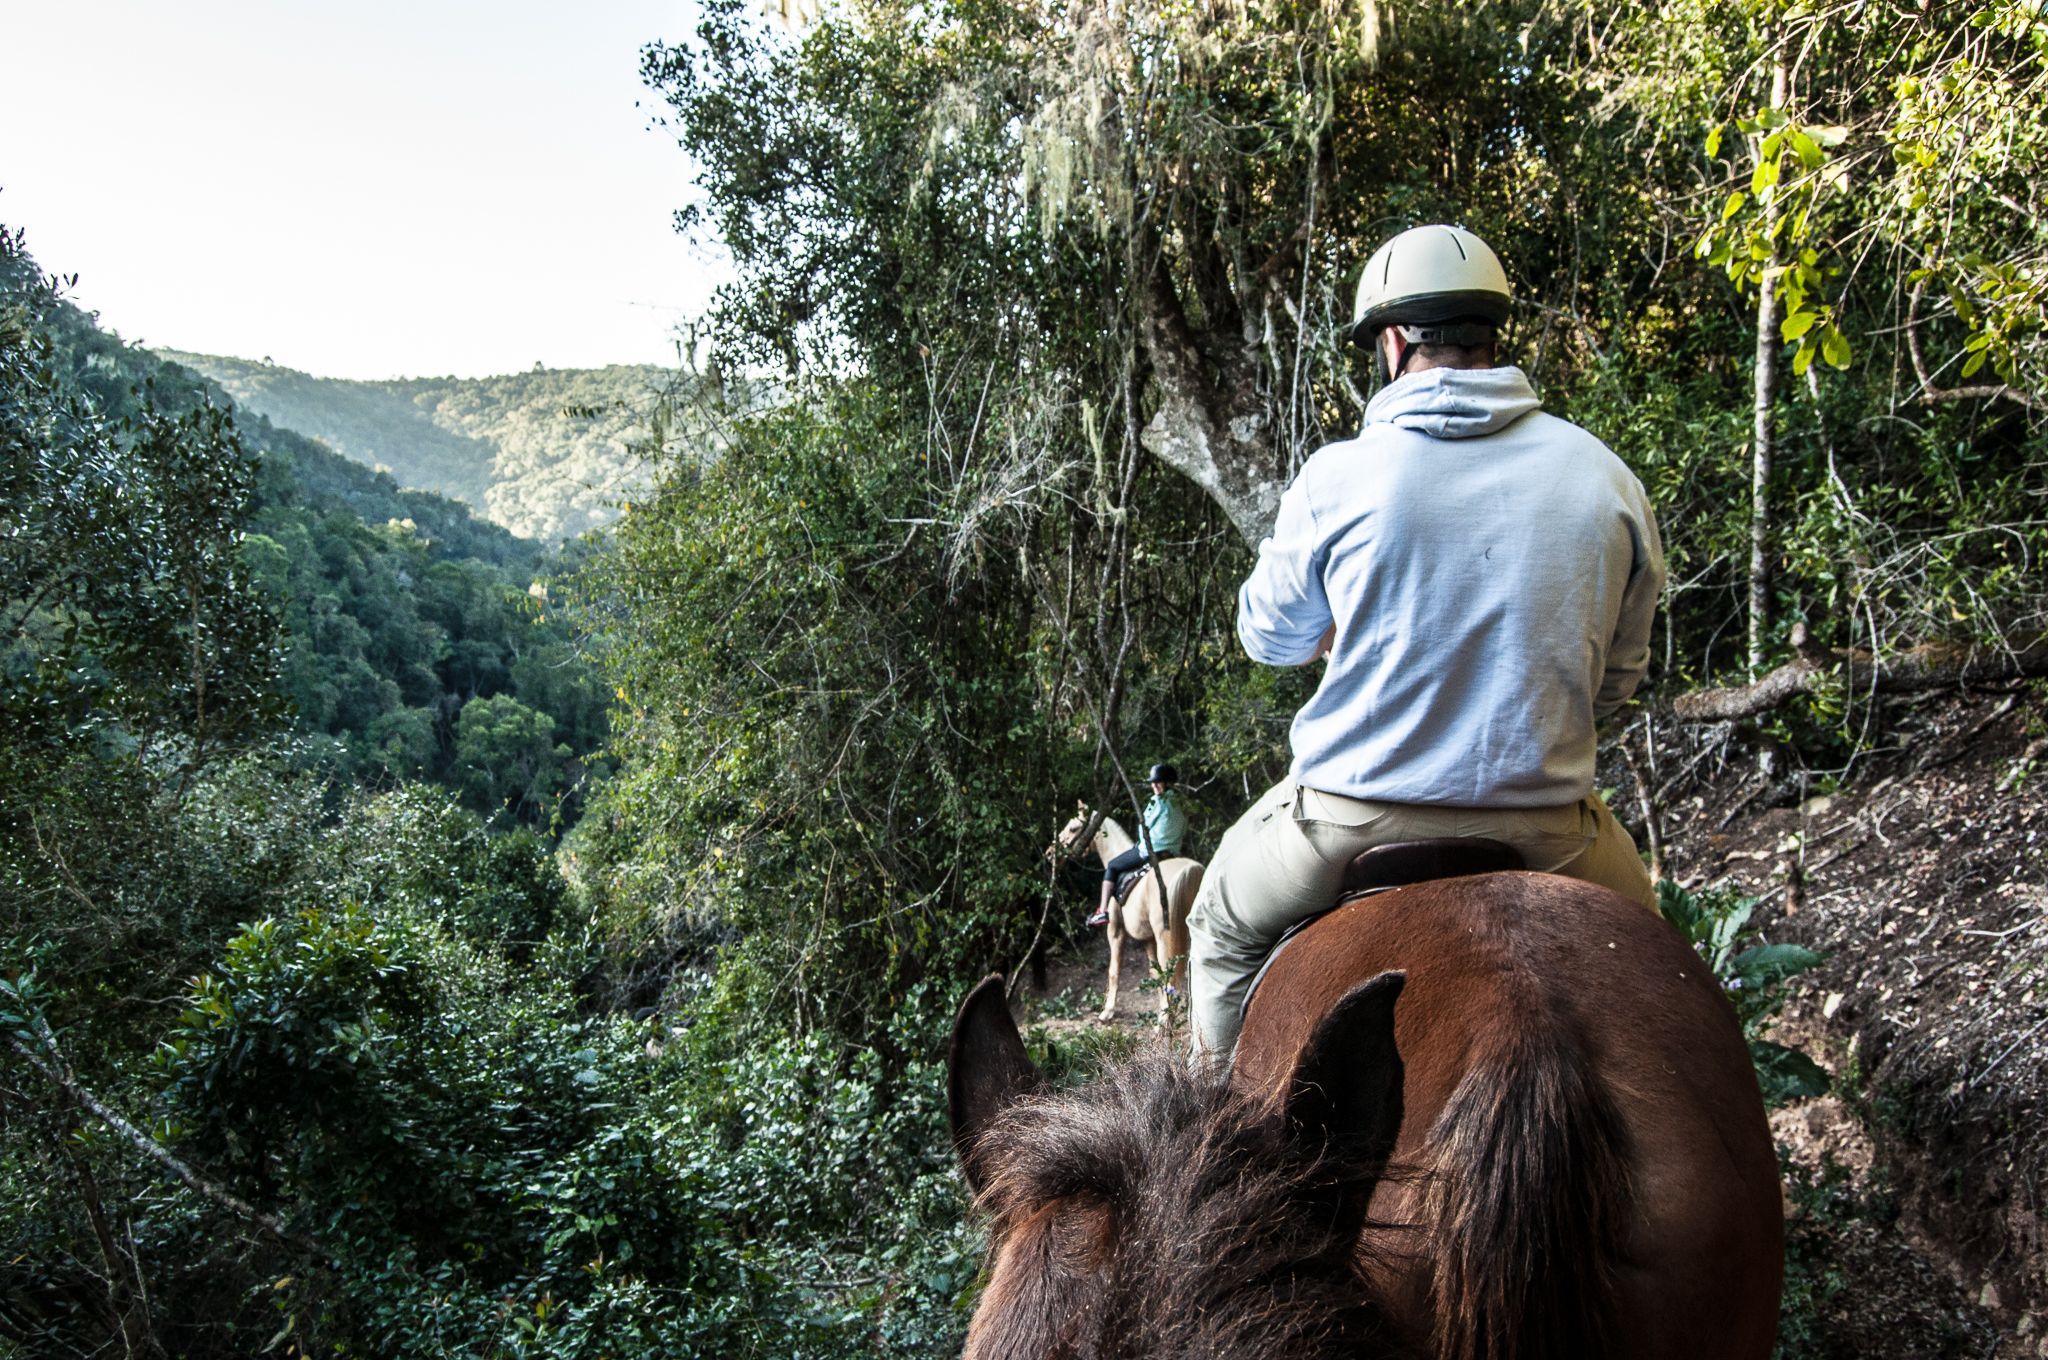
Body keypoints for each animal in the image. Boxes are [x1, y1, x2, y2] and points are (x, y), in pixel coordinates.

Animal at [1056, 802, 1196, 1015]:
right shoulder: (1147, 939)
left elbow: (1114, 970)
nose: (1051, 852)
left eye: (1073, 828)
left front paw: (1108, 1010)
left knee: (1172, 974)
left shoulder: (1115, 932)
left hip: (1166, 937)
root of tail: (1190, 872)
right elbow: (1154, 973)